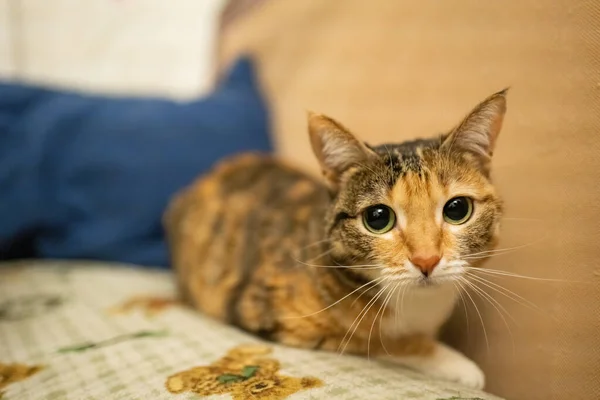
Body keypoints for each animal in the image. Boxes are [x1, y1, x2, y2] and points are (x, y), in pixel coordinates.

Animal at [163, 88, 506, 390]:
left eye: (457, 209)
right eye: (378, 218)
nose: (426, 260)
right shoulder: (277, 317)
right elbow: (380, 340)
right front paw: (457, 364)